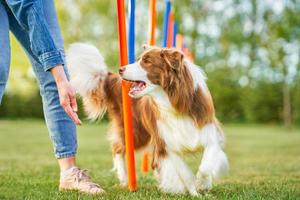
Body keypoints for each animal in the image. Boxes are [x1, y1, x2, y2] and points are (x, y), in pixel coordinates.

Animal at [67, 43, 229, 195]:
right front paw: (193, 191)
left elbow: (206, 166)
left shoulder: (210, 133)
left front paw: (202, 185)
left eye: (147, 61)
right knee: (117, 148)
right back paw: (125, 178)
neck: (174, 102)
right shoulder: (167, 143)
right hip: (136, 132)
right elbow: (185, 173)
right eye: (139, 59)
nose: (120, 69)